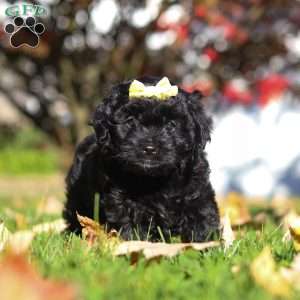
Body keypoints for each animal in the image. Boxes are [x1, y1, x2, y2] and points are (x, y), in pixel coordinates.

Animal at [63, 77, 219, 241]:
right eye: (130, 121)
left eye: (171, 124)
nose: (150, 148)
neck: (155, 179)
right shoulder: (121, 200)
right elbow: (130, 226)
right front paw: (136, 244)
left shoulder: (196, 191)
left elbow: (203, 217)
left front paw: (205, 243)